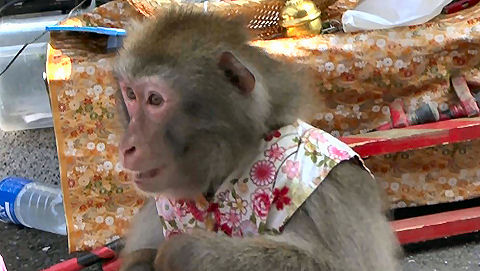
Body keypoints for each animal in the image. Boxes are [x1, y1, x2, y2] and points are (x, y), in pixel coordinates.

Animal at [113, 8, 402, 271]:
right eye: (130, 95)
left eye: (155, 100)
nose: (127, 147)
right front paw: (141, 260)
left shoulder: (329, 190)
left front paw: (177, 252)